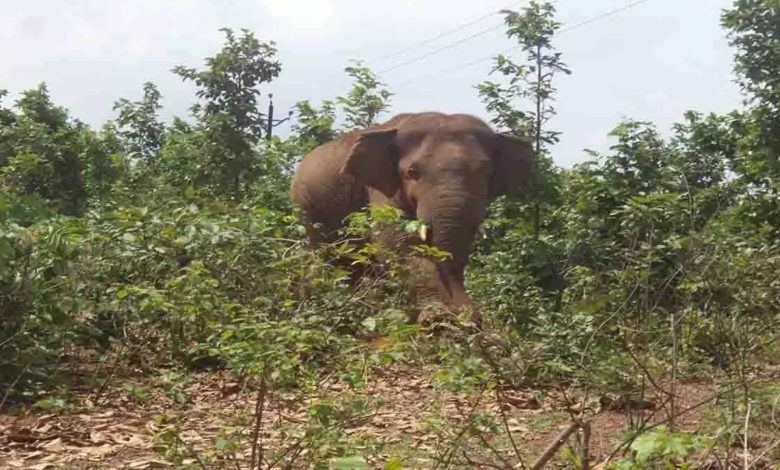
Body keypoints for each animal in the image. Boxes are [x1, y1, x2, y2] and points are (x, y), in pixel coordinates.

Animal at [290, 113, 532, 326]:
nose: (463, 312)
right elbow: (395, 240)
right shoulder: (380, 187)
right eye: (412, 172)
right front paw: (436, 317)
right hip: (306, 206)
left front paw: (468, 317)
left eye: (487, 174)